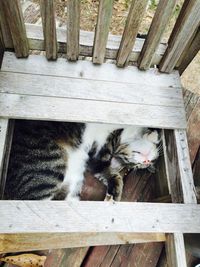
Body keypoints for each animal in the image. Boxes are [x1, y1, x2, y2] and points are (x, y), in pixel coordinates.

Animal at [4, 120, 161, 202]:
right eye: (136, 165)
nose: (146, 162)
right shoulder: (101, 152)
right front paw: (153, 134)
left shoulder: (96, 158)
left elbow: (109, 172)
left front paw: (114, 193)